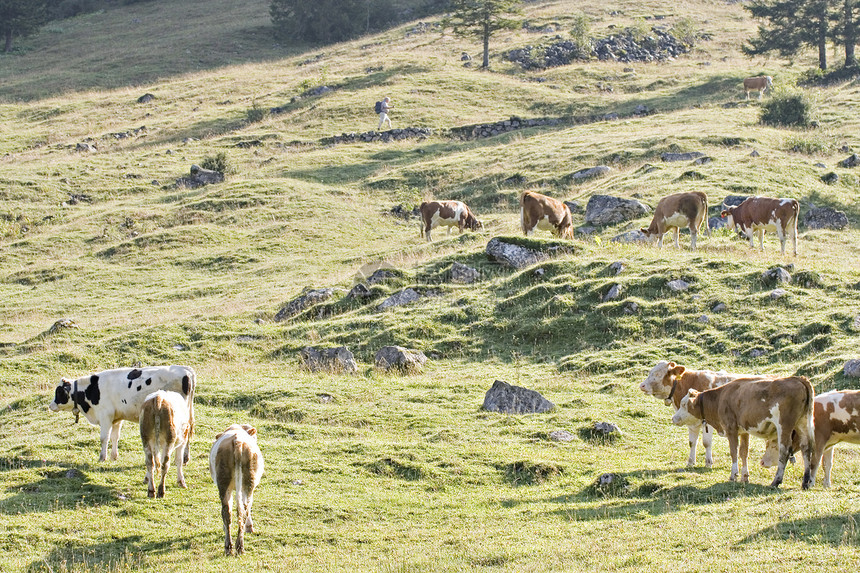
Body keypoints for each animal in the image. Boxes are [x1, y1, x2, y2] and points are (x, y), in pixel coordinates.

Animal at [49, 364, 197, 462]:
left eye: (59, 392)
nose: (51, 405)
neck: (92, 389)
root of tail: (185, 370)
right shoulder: (117, 418)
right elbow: (115, 437)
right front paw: (114, 456)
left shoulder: (105, 416)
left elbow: (104, 438)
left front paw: (102, 458)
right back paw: (185, 457)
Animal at [211, 424, 264, 556]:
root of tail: (237, 440)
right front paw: (249, 527)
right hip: (246, 483)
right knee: (240, 509)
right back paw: (236, 546)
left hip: (225, 483)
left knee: (228, 511)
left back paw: (232, 547)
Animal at [640, 360, 772, 466]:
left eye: (657, 374)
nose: (642, 385)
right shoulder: (691, 422)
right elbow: (692, 442)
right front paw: (690, 462)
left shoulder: (707, 422)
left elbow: (706, 443)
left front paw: (708, 462)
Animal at [672, 376, 812, 488]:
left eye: (683, 404)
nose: (673, 418)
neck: (720, 398)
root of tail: (797, 379)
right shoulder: (744, 431)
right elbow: (743, 452)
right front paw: (745, 476)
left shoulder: (731, 429)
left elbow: (733, 452)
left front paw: (734, 474)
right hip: (802, 424)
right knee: (806, 448)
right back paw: (806, 482)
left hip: (784, 426)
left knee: (784, 451)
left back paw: (776, 481)